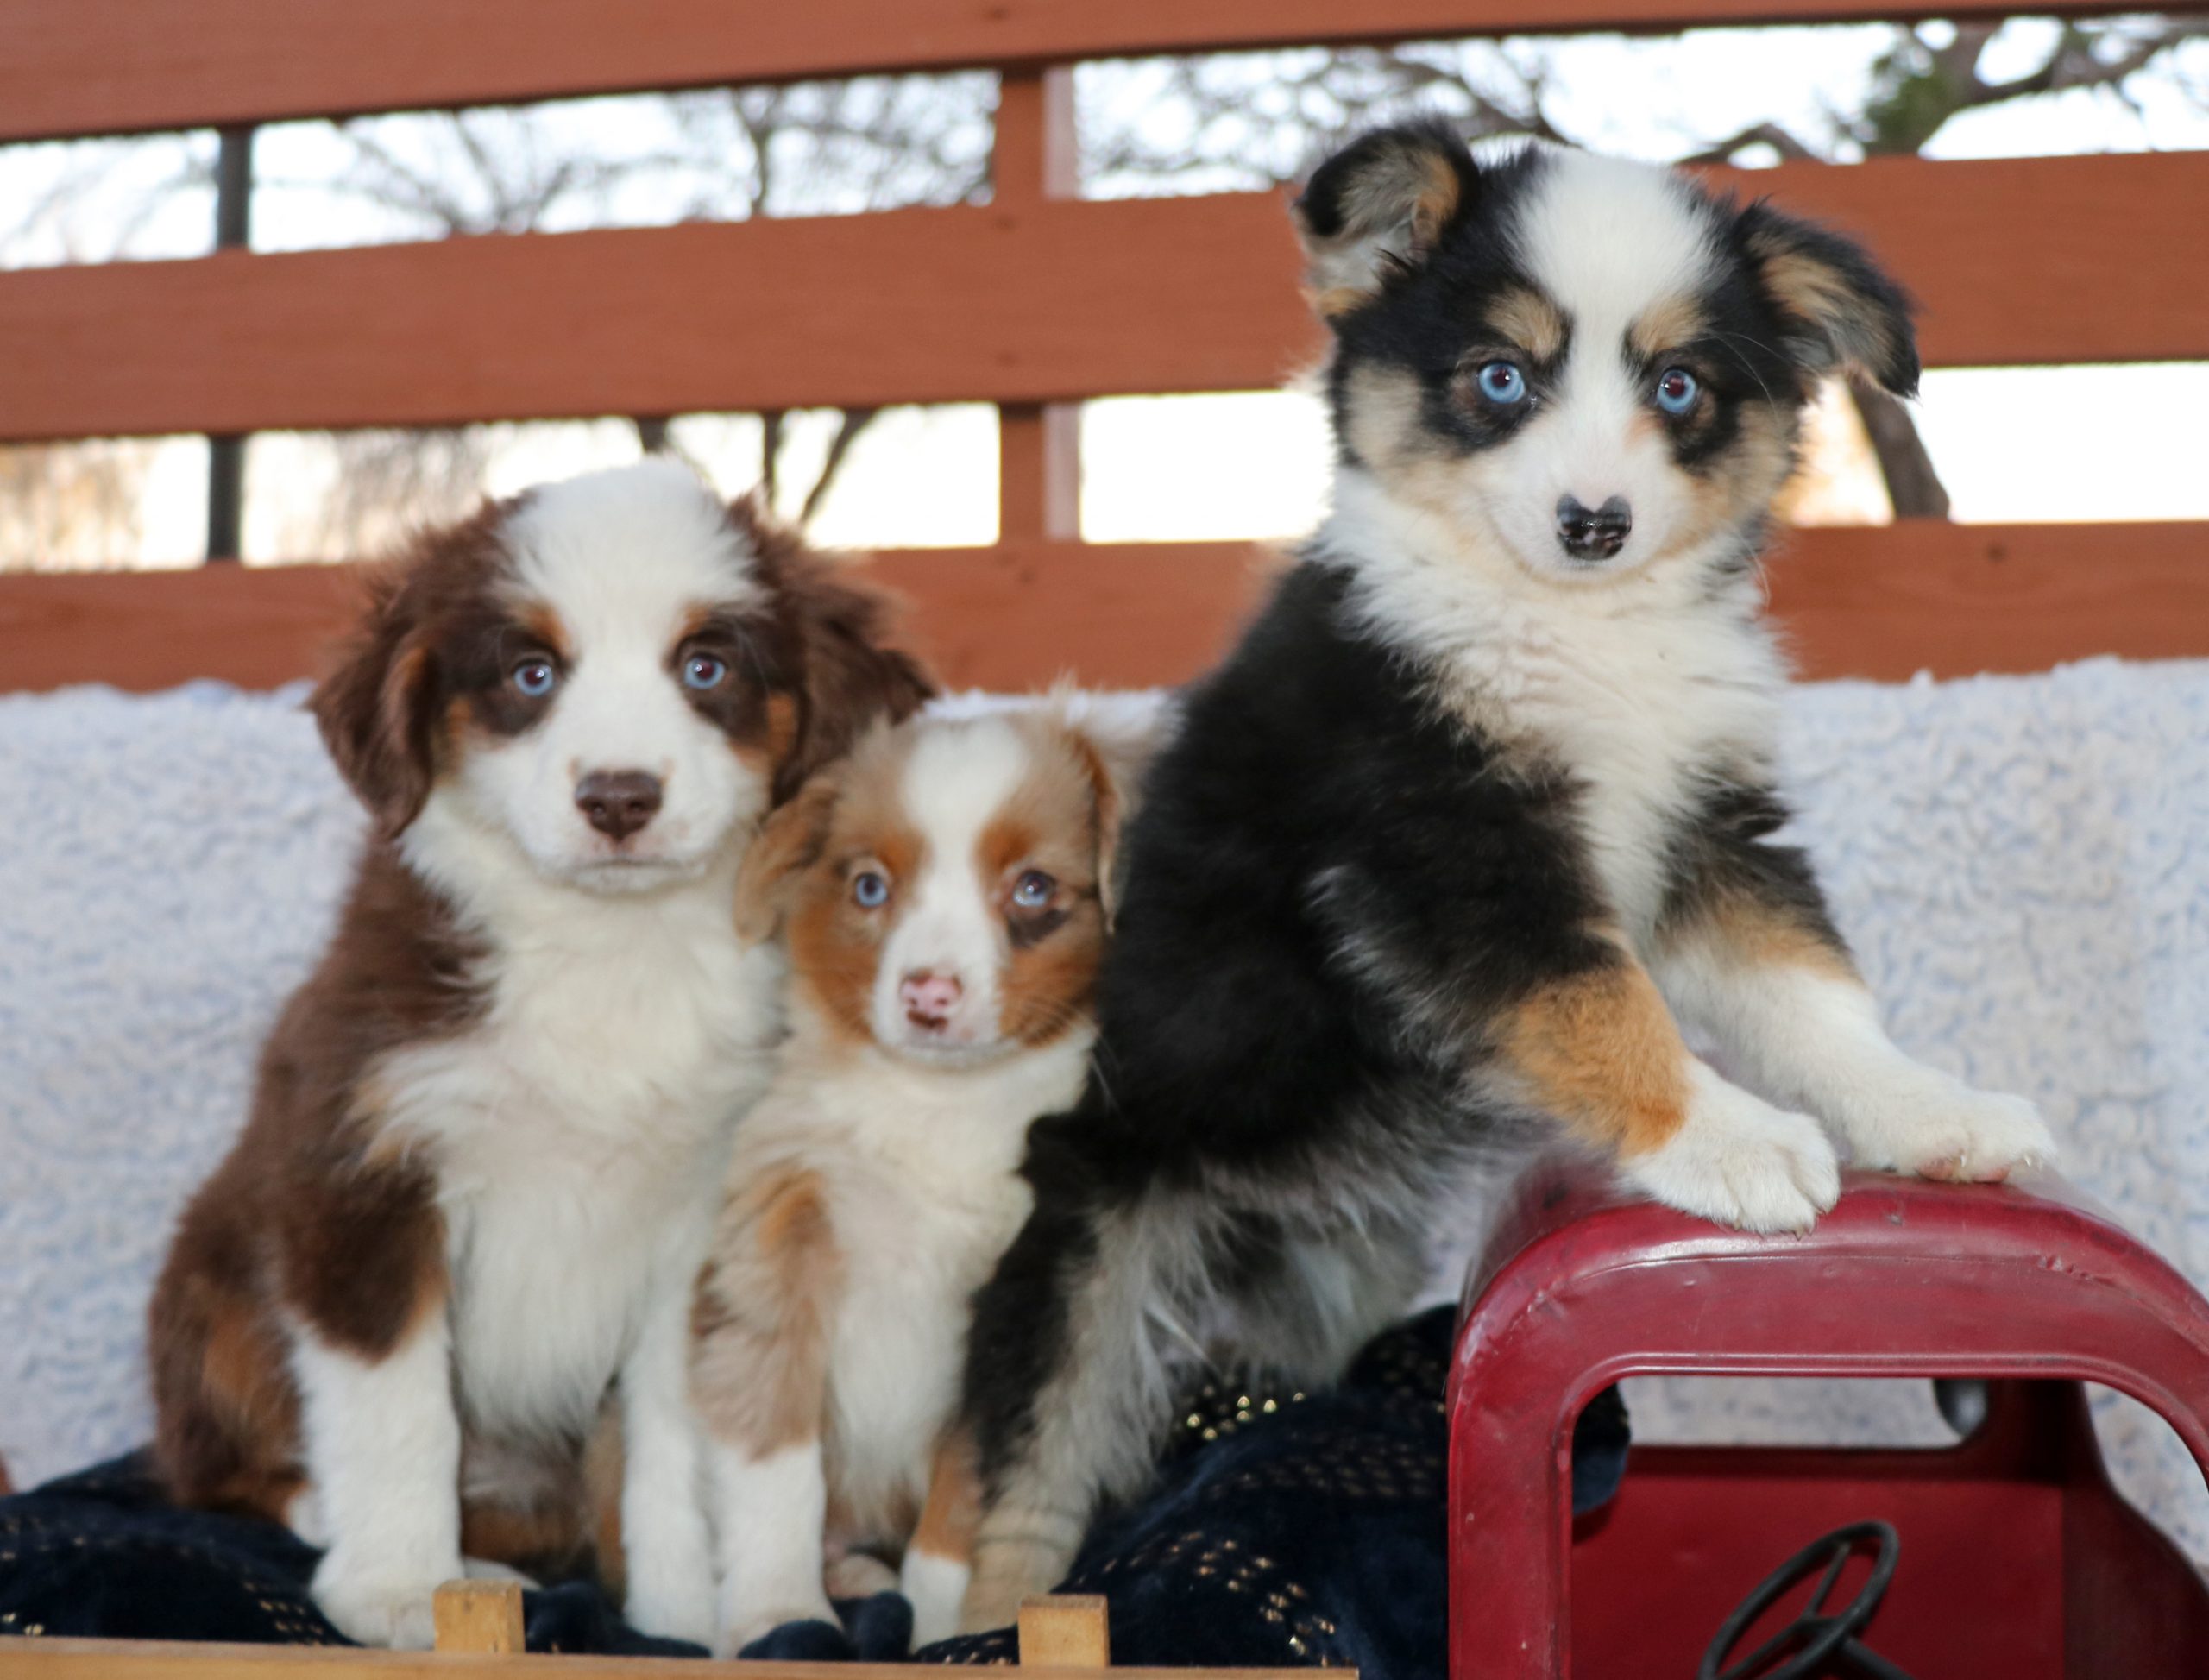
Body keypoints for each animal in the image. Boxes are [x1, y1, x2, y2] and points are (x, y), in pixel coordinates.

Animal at [144, 452, 923, 1642]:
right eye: (529, 674)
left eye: (705, 666)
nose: (618, 798)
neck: (606, 947)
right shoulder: (362, 1175)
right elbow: (395, 1410)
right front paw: (405, 1592)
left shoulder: (701, 1221)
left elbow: (670, 1447)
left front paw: (684, 1617)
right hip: (212, 1271)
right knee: (211, 1468)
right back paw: (360, 1524)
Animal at [949, 124, 2049, 1633]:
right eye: (1500, 377)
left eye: (1678, 385)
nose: (1595, 521)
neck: (1581, 630)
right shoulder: (1444, 848)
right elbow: (1600, 997)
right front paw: (1730, 1141)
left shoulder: (1711, 830)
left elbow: (1813, 993)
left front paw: (1932, 1111)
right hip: (1093, 1229)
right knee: (1024, 1463)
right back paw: (972, 1608)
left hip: (1341, 1265)